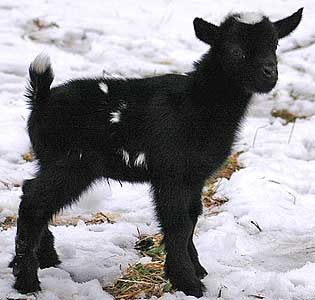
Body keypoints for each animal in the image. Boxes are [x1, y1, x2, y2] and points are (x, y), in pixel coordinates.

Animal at [11, 8, 304, 298]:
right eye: (234, 49)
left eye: (275, 45)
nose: (269, 72)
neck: (198, 101)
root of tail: (41, 98)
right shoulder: (171, 173)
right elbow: (178, 223)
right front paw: (187, 282)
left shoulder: (194, 177)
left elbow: (192, 217)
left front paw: (197, 269)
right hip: (73, 162)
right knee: (34, 202)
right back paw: (27, 281)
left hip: (50, 159)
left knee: (34, 194)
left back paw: (47, 258)